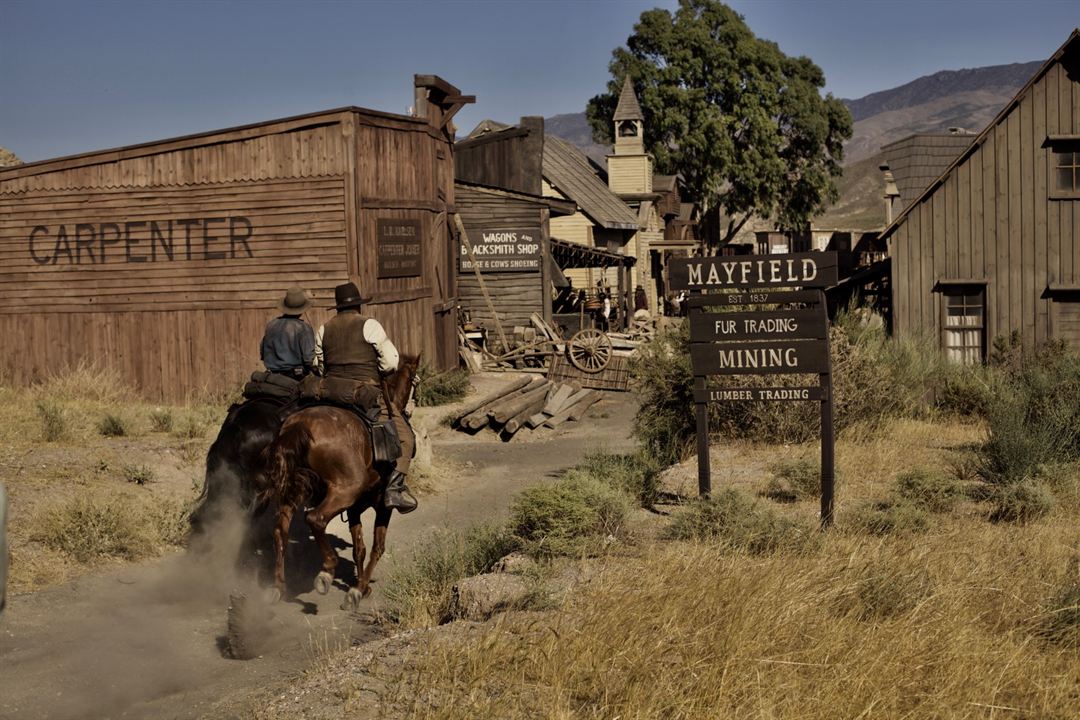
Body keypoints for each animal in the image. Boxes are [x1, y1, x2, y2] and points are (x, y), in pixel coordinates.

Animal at [261, 351, 421, 613]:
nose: (410, 408)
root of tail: (299, 426)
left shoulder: (354, 508)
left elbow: (359, 548)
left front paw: (361, 587)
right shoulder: (382, 506)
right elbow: (377, 547)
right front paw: (358, 590)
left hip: (293, 492)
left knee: (279, 531)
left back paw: (278, 587)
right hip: (343, 492)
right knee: (315, 519)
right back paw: (326, 571)